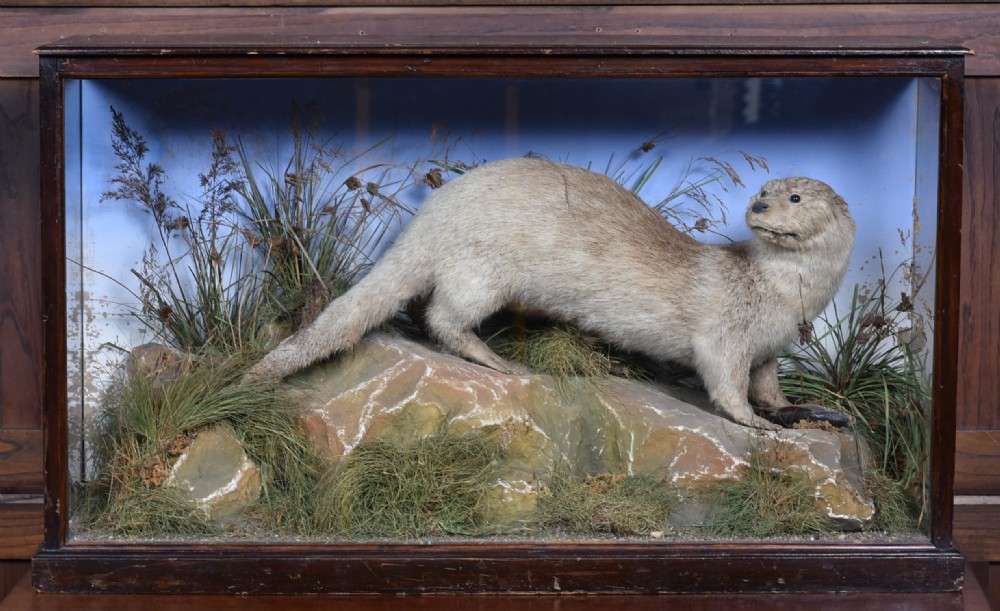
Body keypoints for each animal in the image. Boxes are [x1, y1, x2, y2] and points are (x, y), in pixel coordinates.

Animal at [248, 157, 856, 429]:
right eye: (762, 191)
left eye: (795, 197)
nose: (759, 205)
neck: (783, 296)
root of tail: (430, 215)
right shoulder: (725, 334)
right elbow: (726, 383)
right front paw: (755, 424)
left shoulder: (771, 347)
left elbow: (769, 383)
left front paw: (802, 412)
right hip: (481, 270)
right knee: (443, 317)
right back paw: (495, 360)